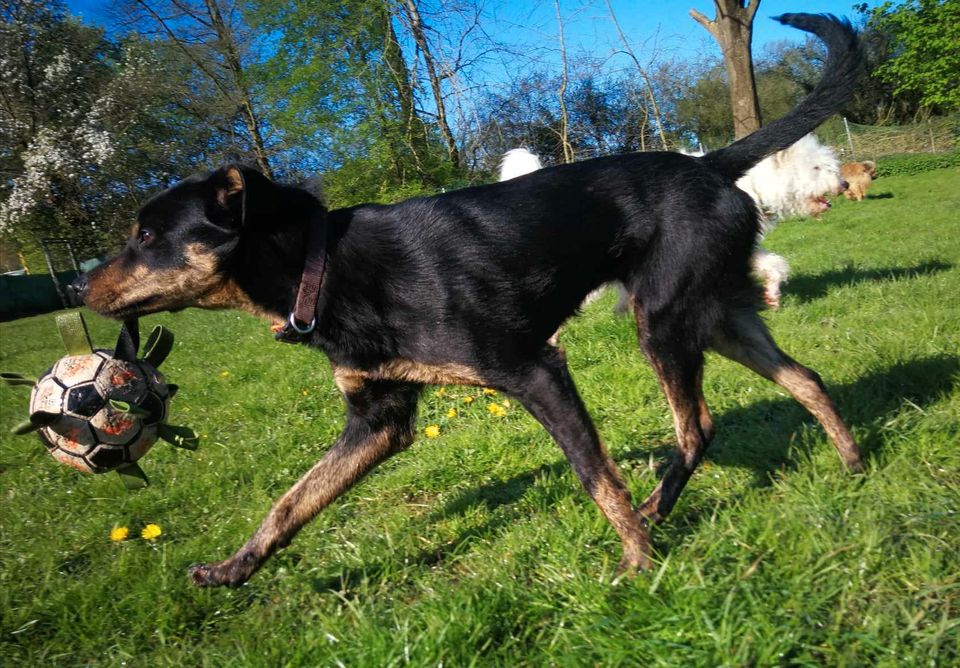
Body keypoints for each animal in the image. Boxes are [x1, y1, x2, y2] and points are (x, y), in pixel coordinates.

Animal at [79, 11, 868, 584]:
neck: (323, 269)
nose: (78, 286)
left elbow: (596, 477)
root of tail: (713, 166)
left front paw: (636, 562)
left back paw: (655, 515)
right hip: (717, 316)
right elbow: (293, 500)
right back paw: (854, 465)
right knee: (805, 378)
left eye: (147, 234)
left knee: (697, 425)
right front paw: (232, 569)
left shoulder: (535, 371)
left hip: (664, 321)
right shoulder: (379, 419)